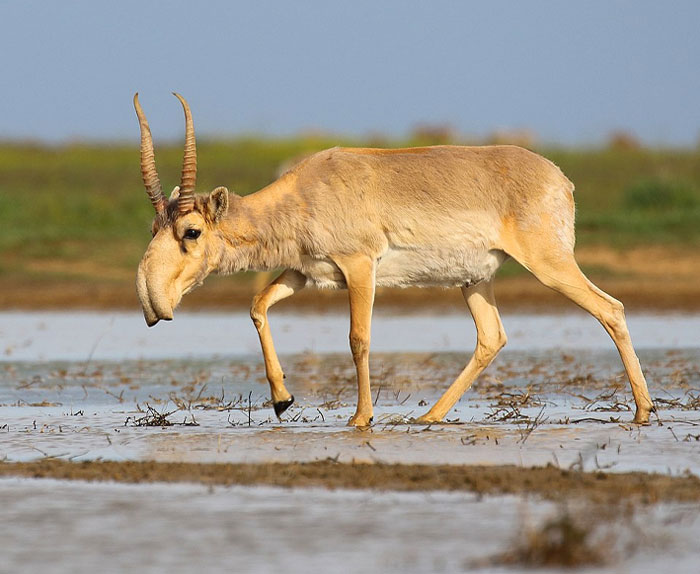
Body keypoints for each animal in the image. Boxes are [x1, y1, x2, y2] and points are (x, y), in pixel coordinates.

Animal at [134, 93, 655, 427]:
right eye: (154, 227)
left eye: (191, 231)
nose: (151, 302)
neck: (305, 191)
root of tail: (560, 178)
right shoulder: (305, 273)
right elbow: (257, 306)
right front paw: (282, 400)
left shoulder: (360, 267)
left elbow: (358, 339)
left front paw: (361, 418)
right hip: (474, 281)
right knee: (492, 337)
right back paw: (429, 416)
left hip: (550, 265)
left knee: (610, 308)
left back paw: (643, 411)